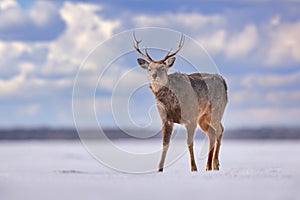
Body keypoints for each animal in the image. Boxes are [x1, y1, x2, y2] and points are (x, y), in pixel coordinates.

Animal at [134, 32, 227, 171]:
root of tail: (224, 82)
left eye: (163, 68)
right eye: (149, 68)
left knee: (220, 130)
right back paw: (208, 166)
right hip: (203, 118)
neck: (172, 103)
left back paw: (215, 164)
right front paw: (159, 169)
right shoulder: (165, 119)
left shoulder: (191, 118)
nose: (154, 75)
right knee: (212, 133)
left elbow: (189, 143)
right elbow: (165, 144)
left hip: (216, 111)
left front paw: (193, 168)